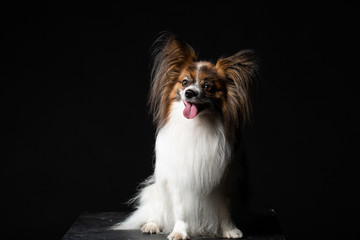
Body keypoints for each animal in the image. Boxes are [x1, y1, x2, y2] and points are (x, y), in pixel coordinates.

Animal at [113, 32, 258, 239]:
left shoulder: (227, 180)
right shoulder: (178, 179)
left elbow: (225, 208)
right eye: (184, 82)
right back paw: (152, 225)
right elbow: (180, 210)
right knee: (157, 210)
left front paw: (229, 229)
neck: (196, 124)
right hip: (156, 191)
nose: (189, 93)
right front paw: (179, 232)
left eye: (207, 86)